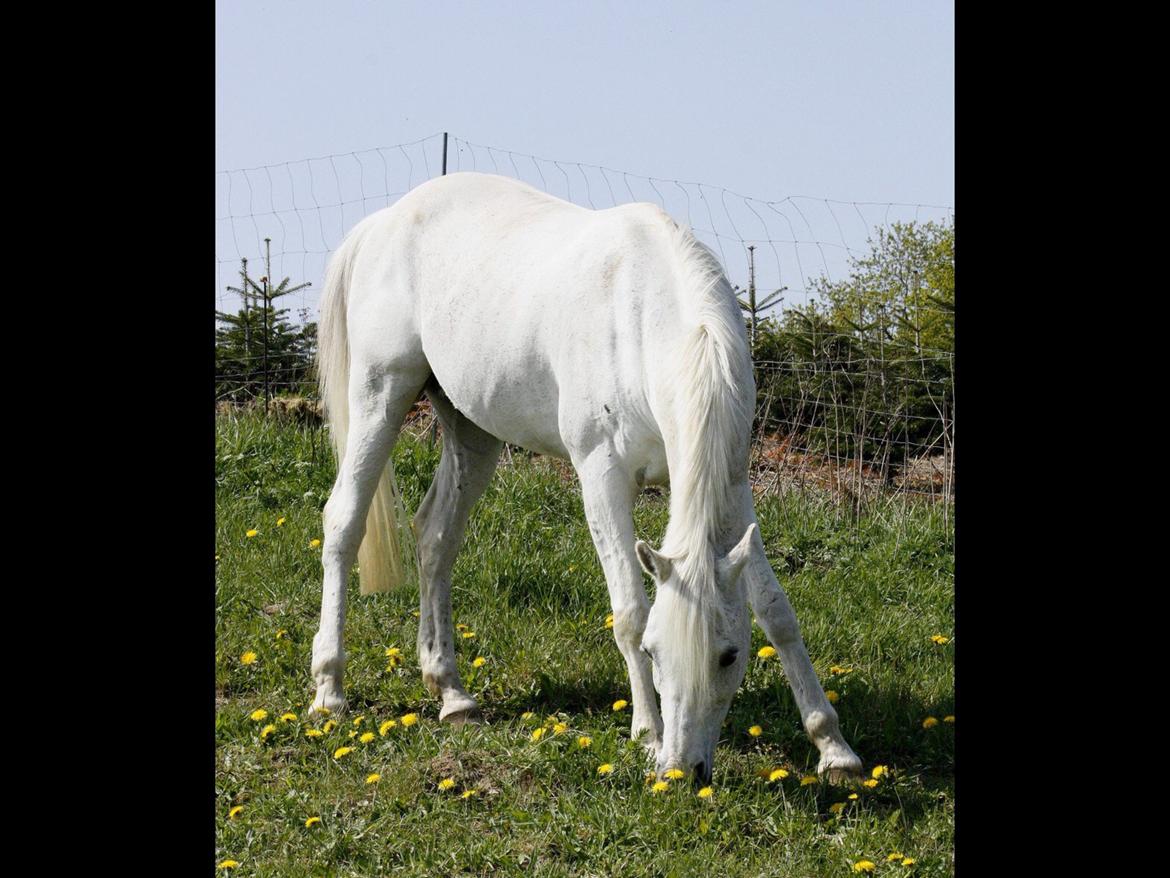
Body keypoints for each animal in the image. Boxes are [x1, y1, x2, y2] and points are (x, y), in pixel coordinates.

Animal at [311, 172, 861, 782]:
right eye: (655, 653)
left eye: (729, 655)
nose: (682, 771)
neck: (643, 320)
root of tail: (383, 221)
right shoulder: (601, 478)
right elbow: (630, 611)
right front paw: (647, 734)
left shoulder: (732, 489)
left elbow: (775, 611)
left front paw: (834, 749)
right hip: (380, 397)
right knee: (343, 523)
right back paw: (329, 691)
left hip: (471, 431)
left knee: (436, 538)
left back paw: (451, 693)